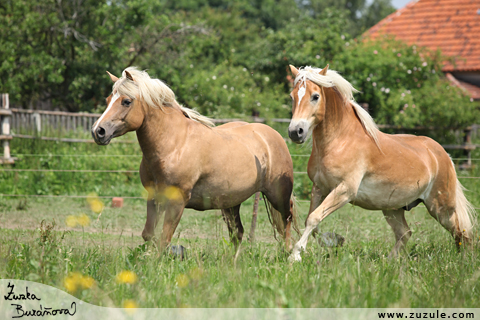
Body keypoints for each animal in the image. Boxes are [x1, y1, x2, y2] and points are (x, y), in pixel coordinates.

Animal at [92, 67, 298, 252]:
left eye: (126, 101)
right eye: (108, 100)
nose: (98, 131)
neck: (174, 144)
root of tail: (273, 135)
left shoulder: (177, 201)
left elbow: (164, 239)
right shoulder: (154, 198)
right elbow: (149, 235)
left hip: (277, 195)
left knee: (286, 221)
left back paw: (288, 255)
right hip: (231, 203)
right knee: (237, 233)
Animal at [286, 63, 474, 262]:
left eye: (315, 96)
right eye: (292, 96)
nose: (295, 132)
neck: (340, 140)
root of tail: (443, 155)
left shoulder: (345, 190)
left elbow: (314, 218)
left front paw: (296, 255)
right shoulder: (319, 188)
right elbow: (312, 221)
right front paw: (334, 241)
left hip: (441, 207)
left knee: (462, 232)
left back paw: (465, 260)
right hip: (393, 207)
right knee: (405, 233)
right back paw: (389, 261)